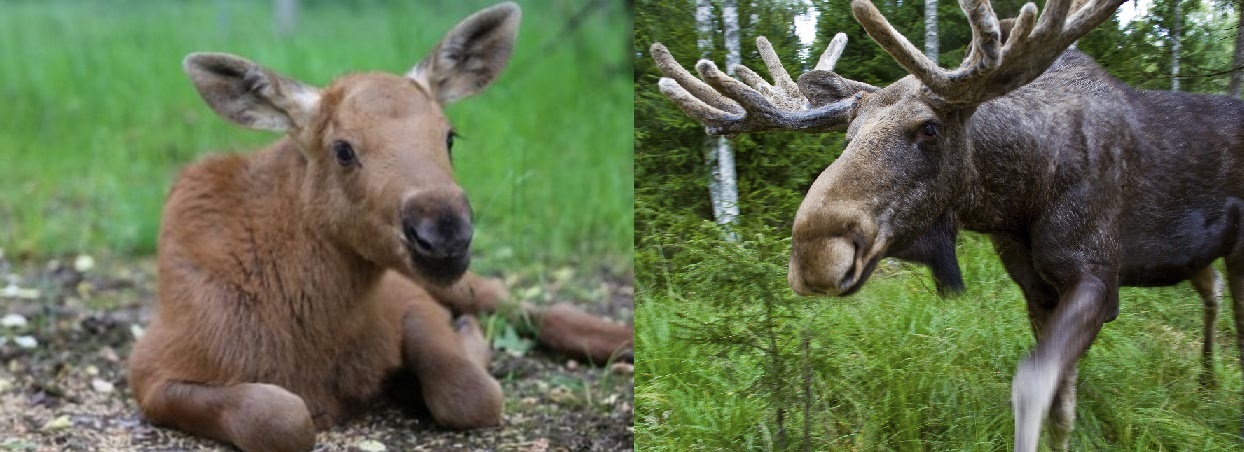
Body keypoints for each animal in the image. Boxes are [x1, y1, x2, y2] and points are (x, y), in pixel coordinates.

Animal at [651, 0, 1244, 450]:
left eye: (930, 128)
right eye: (848, 135)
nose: (815, 255)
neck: (1018, 196)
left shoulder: (1095, 275)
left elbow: (1032, 384)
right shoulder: (1036, 287)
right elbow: (1061, 402)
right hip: (1195, 255)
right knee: (1211, 290)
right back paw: (1207, 379)